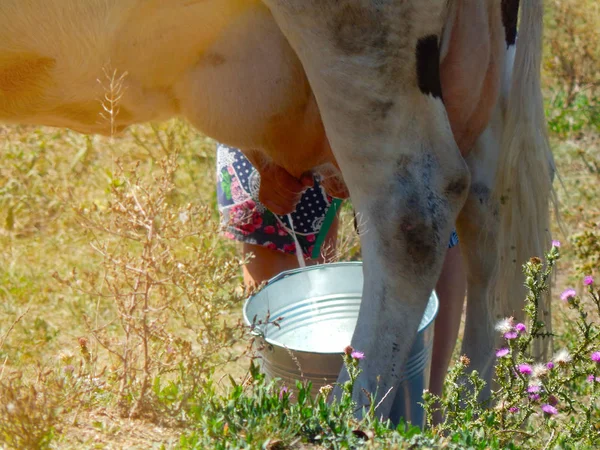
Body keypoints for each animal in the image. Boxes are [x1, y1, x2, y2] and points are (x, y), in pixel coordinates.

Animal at [0, 0, 552, 422]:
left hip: (356, 34)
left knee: (413, 209)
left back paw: (348, 417)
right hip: (479, 76)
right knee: (487, 215)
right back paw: (468, 408)